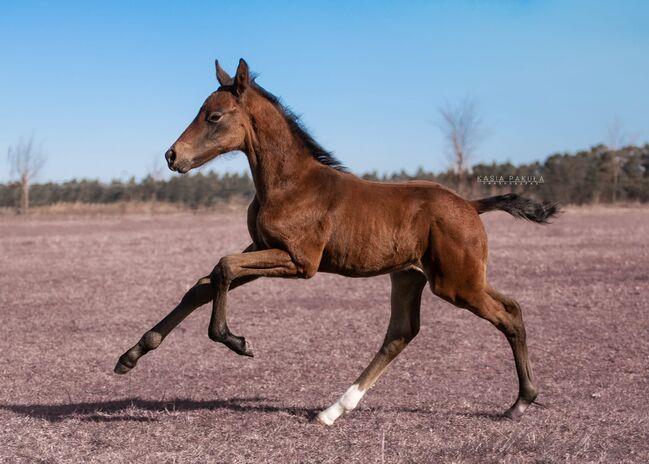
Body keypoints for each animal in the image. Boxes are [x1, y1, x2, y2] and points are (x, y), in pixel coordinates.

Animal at [115, 59, 556, 426]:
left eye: (214, 116)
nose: (172, 156)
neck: (291, 183)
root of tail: (471, 204)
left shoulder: (300, 262)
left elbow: (222, 268)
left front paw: (238, 343)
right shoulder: (261, 248)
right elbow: (202, 284)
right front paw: (130, 356)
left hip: (456, 283)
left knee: (508, 315)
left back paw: (520, 402)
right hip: (416, 276)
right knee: (405, 332)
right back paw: (333, 410)